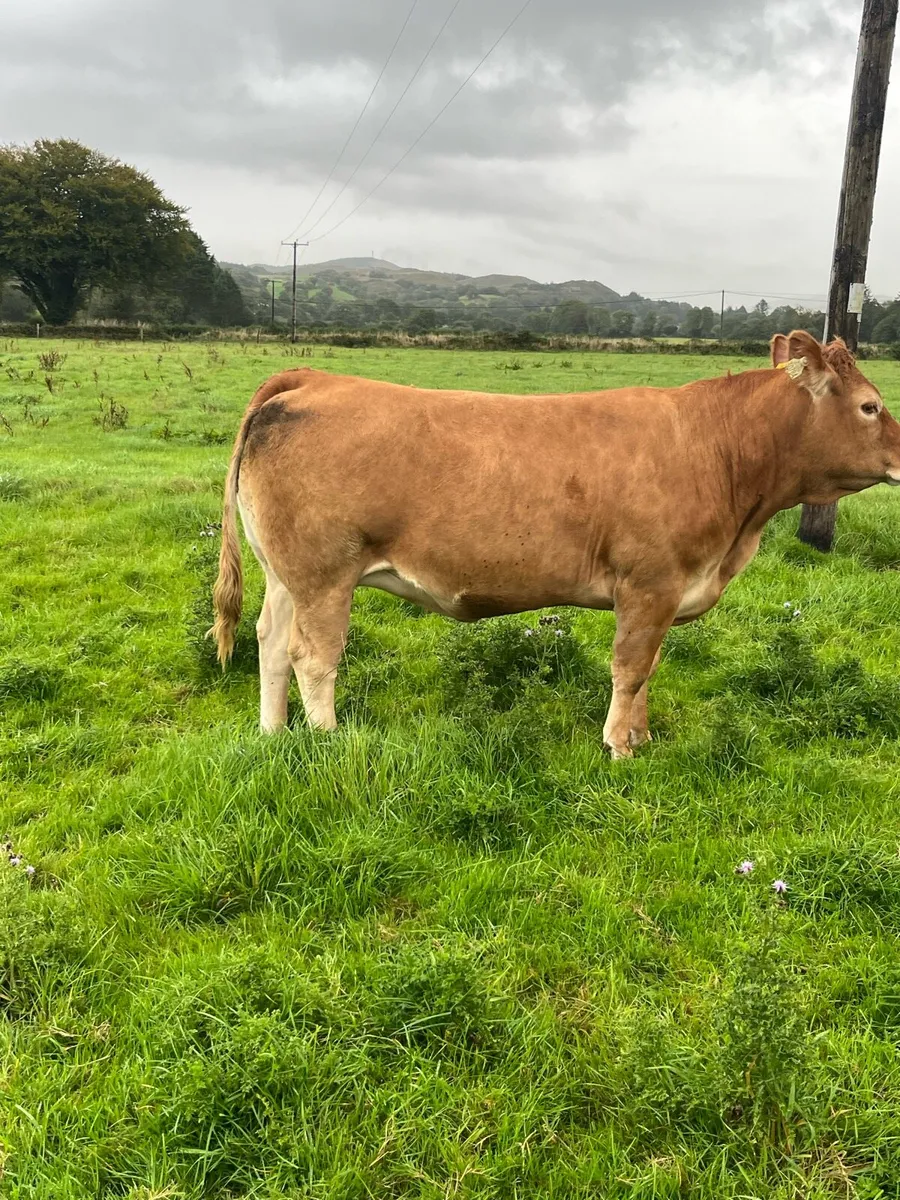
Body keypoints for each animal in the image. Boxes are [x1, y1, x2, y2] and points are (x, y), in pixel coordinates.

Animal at [211, 331, 900, 757]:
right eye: (871, 406)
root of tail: (313, 379)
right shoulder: (649, 583)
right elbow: (631, 668)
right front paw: (619, 747)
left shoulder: (667, 593)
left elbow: (648, 670)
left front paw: (642, 739)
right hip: (326, 574)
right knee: (312, 657)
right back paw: (328, 742)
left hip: (287, 574)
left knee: (270, 642)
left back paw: (273, 736)